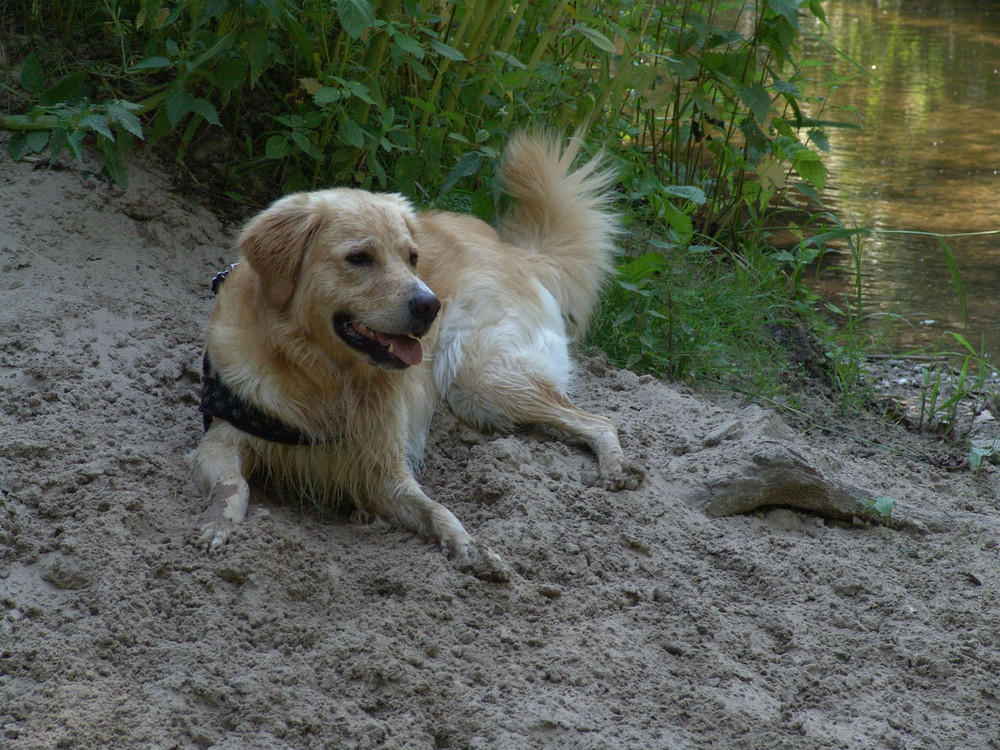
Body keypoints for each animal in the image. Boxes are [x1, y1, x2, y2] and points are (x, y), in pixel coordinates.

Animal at [192, 132, 644, 572]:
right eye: (359, 258)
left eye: (412, 258)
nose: (430, 305)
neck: (326, 375)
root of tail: (512, 250)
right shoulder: (220, 438)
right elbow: (235, 484)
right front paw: (218, 523)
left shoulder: (385, 472)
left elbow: (438, 510)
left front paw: (470, 545)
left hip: (479, 377)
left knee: (599, 420)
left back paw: (615, 467)